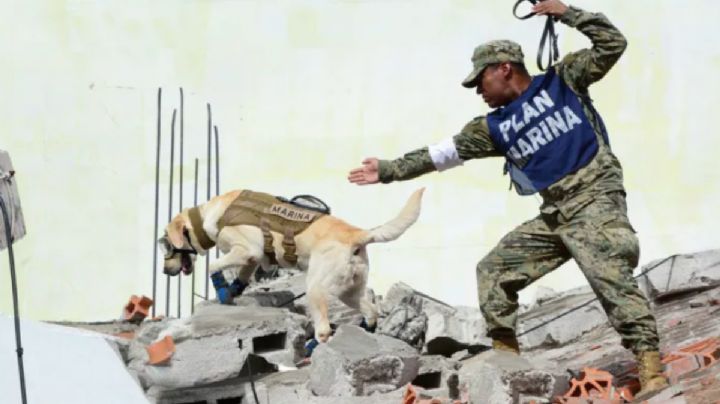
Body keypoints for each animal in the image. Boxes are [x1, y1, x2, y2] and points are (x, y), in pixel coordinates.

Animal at [160, 188, 424, 342]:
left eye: (166, 246)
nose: (164, 271)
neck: (211, 214)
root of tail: (357, 234)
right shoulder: (253, 257)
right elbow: (242, 276)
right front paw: (231, 293)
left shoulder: (247, 250)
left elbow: (212, 267)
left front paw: (222, 289)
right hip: (349, 290)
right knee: (370, 312)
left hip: (316, 287)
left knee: (324, 329)